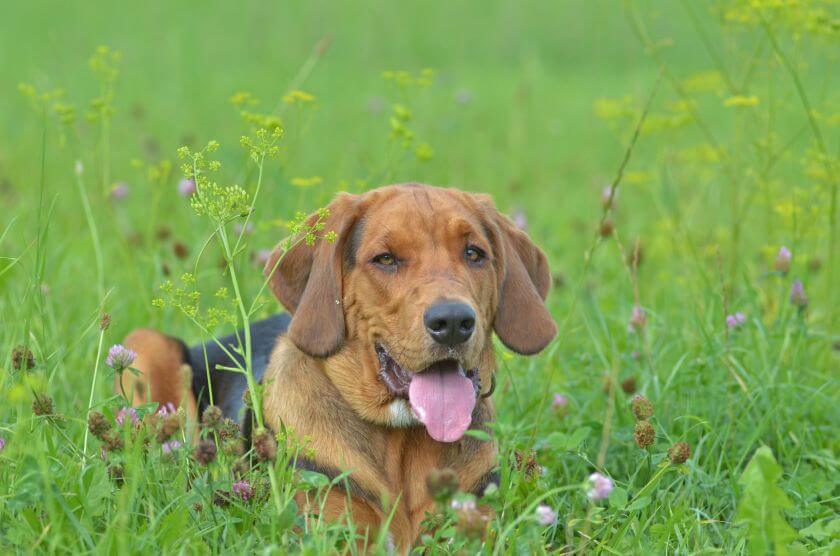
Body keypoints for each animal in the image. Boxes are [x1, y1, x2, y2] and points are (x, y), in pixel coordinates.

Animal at [121, 184, 556, 552]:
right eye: (386, 259)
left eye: (473, 253)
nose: (452, 322)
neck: (401, 442)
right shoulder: (330, 530)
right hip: (149, 345)